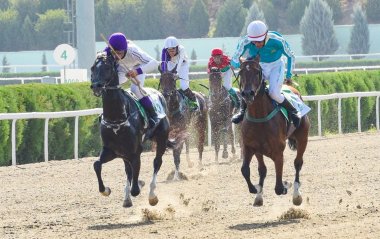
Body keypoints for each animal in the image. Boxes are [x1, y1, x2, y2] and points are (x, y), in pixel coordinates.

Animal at [90, 52, 174, 207]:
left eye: (107, 67)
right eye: (92, 68)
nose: (96, 86)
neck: (116, 118)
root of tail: (159, 94)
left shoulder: (135, 151)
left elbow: (135, 186)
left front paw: (138, 185)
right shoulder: (111, 150)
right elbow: (97, 164)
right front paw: (106, 190)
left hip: (162, 138)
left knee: (157, 162)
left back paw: (152, 195)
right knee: (128, 170)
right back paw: (127, 197)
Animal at [239, 55, 310, 205]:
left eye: (257, 72)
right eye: (241, 72)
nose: (247, 94)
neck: (260, 117)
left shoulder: (278, 152)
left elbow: (278, 187)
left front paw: (286, 185)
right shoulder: (250, 147)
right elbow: (249, 170)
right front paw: (255, 191)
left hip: (303, 138)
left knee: (298, 163)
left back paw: (296, 194)